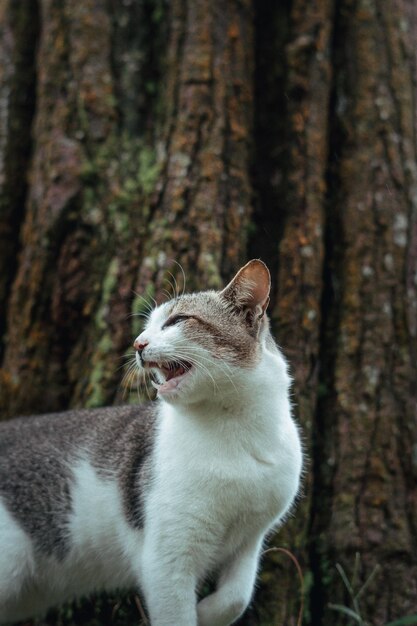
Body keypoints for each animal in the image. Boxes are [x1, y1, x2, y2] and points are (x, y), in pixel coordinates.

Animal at [0, 258, 300, 624]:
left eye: (177, 321)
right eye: (147, 326)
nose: (137, 344)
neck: (235, 428)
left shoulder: (250, 538)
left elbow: (236, 597)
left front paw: (207, 612)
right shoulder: (167, 557)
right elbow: (178, 614)